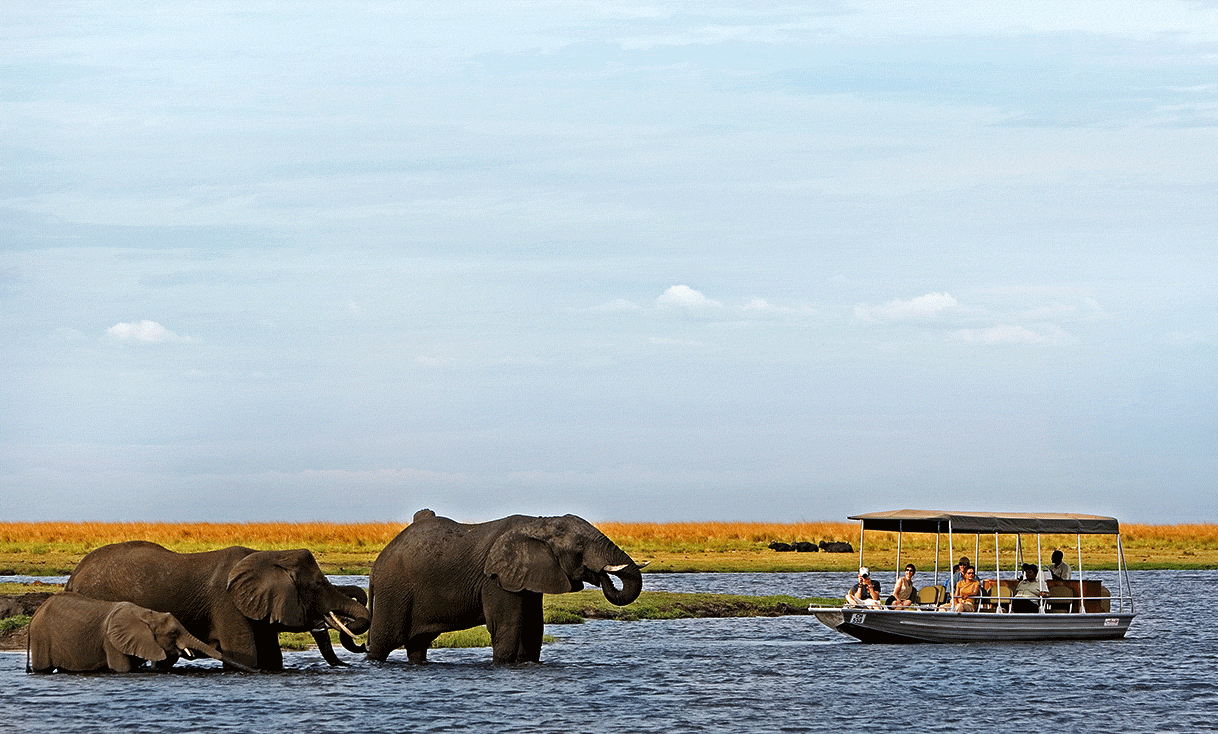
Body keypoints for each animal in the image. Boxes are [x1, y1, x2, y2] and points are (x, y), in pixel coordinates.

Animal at [28, 594, 259, 676]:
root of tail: (35, 614)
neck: (146, 614)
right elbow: (123, 669)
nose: (257, 672)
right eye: (174, 632)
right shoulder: (111, 642)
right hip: (41, 638)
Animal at [65, 540, 370, 671]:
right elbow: (246, 656)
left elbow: (273, 657)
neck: (269, 555)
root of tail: (74, 575)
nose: (364, 648)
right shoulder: (227, 604)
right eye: (317, 585)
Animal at [362, 511, 643, 667]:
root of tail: (376, 565)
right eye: (579, 547)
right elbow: (507, 625)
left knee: (417, 644)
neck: (538, 523)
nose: (601, 574)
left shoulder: (528, 577)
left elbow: (533, 627)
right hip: (393, 592)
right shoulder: (496, 579)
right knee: (382, 641)